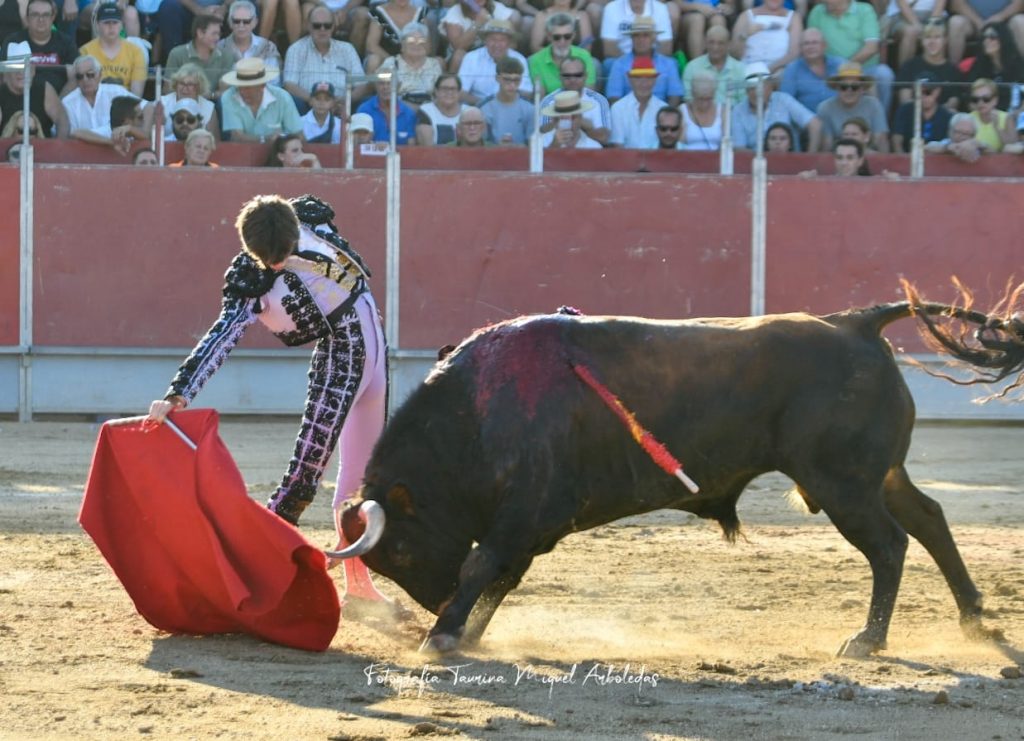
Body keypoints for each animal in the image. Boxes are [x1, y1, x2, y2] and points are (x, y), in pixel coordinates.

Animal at [331, 286, 1024, 655]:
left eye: (402, 550)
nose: (431, 604)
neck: (477, 410)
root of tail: (855, 323)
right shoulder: (532, 524)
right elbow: (501, 577)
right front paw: (466, 632)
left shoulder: (523, 512)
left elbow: (484, 567)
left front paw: (445, 635)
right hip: (877, 475)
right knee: (929, 519)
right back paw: (972, 617)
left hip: (842, 483)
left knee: (890, 543)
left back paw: (868, 639)